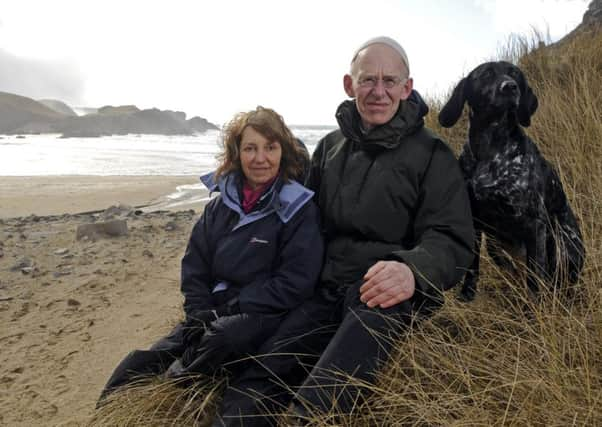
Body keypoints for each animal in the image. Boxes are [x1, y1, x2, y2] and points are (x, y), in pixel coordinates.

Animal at [436, 61, 580, 300]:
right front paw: (467, 294)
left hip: (562, 244)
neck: (491, 148)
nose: (510, 87)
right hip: (495, 246)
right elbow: (473, 265)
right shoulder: (474, 221)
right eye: (485, 74)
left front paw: (534, 305)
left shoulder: (535, 224)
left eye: (515, 74)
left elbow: (535, 278)